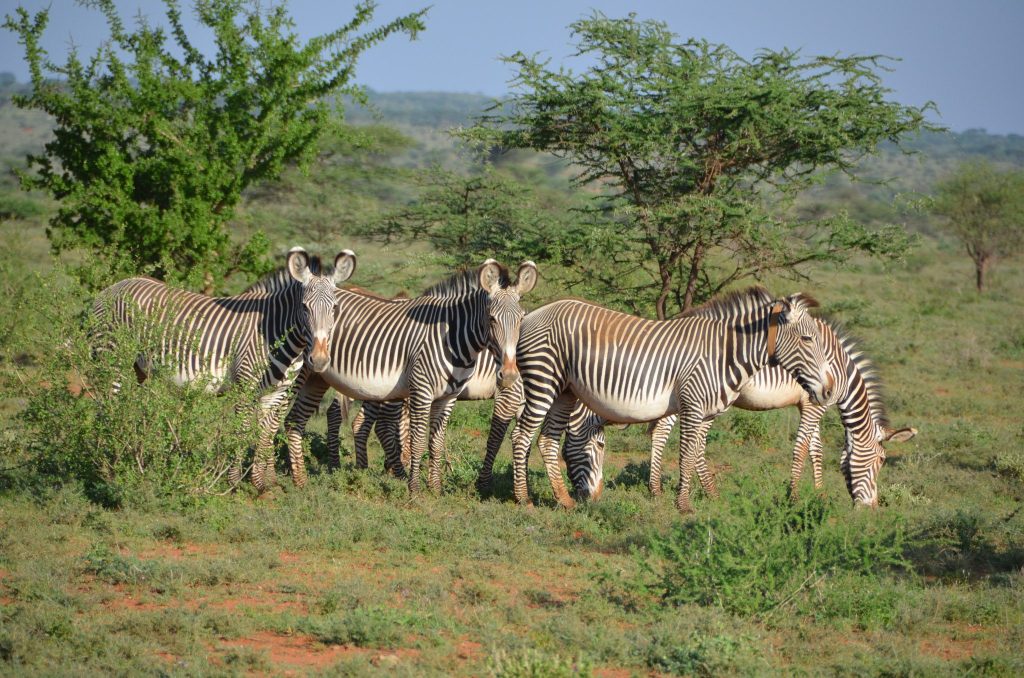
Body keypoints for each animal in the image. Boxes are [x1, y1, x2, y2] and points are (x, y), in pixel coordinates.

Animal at [90, 247, 356, 490]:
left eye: (335, 308)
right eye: (304, 307)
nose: (319, 361)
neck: (277, 332)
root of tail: (112, 287)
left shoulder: (276, 393)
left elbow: (265, 433)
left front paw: (263, 484)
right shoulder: (245, 386)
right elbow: (243, 431)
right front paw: (235, 482)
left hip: (137, 369)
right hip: (111, 358)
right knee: (106, 408)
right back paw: (105, 467)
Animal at [276, 260, 537, 490]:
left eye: (521, 319)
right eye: (491, 319)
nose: (509, 374)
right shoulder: (509, 395)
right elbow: (496, 436)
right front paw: (484, 484)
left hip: (328, 379)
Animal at [501, 287, 834, 513]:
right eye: (808, 339)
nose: (830, 390)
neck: (722, 353)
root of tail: (531, 315)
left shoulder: (706, 412)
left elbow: (697, 453)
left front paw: (698, 497)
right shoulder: (692, 405)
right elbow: (686, 455)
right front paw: (683, 505)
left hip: (565, 391)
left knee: (546, 439)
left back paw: (564, 500)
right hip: (544, 380)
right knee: (521, 436)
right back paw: (523, 498)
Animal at [555, 318, 917, 507]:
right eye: (881, 461)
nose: (871, 508)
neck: (841, 369)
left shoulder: (811, 402)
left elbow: (816, 448)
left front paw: (818, 492)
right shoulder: (816, 402)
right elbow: (803, 448)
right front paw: (795, 495)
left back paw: (660, 489)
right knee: (664, 433)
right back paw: (666, 490)